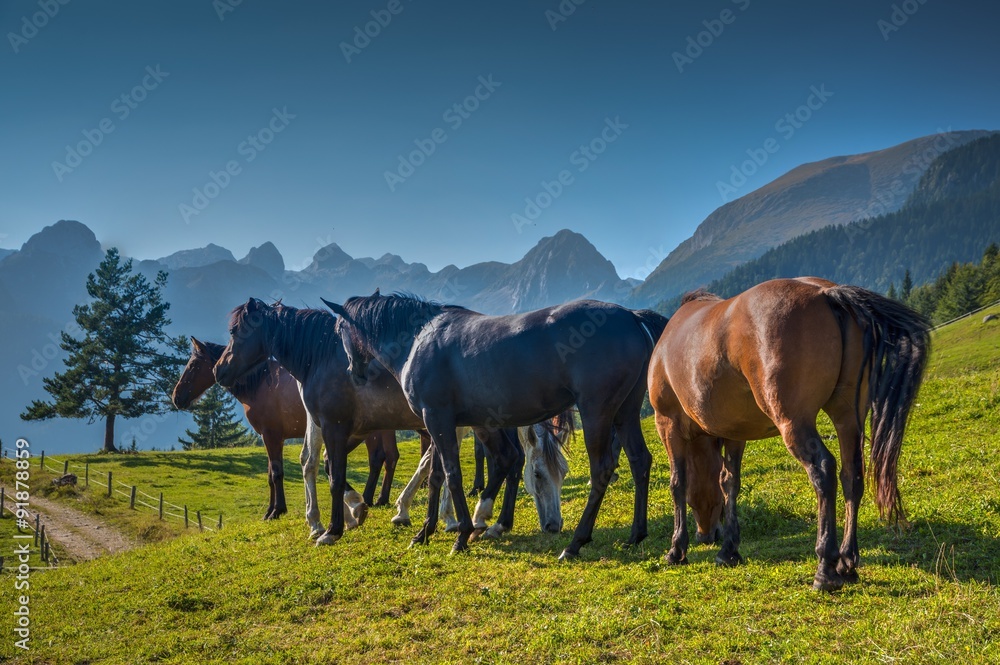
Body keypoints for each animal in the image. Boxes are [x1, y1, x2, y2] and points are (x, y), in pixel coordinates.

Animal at [173, 338, 402, 520]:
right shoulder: (271, 438)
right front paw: (269, 510)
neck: (260, 383)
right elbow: (270, 475)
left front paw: (277, 510)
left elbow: (276, 473)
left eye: (193, 365)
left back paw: (369, 498)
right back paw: (379, 498)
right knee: (389, 457)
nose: (177, 397)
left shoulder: (271, 436)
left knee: (378, 458)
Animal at [215, 300, 532, 544]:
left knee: (502, 459)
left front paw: (334, 526)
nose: (220, 370)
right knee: (510, 459)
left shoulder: (335, 425)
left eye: (234, 331)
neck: (321, 357)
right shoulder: (349, 428)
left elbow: (333, 472)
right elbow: (325, 465)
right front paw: (355, 511)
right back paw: (490, 521)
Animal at [324, 290, 668, 556]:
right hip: (625, 413)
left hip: (598, 411)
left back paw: (574, 543)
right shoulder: (438, 423)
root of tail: (632, 316)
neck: (418, 340)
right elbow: (435, 475)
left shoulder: (438, 419)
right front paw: (425, 532)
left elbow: (452, 475)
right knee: (639, 460)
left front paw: (462, 534)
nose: (354, 372)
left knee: (602, 470)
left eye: (339, 330)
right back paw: (635, 535)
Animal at [648, 278, 928, 588]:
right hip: (847, 418)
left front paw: (676, 549)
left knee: (824, 470)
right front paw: (729, 550)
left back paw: (826, 566)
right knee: (851, 475)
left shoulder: (668, 425)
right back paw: (847, 561)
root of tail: (826, 293)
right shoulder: (735, 432)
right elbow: (729, 482)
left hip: (794, 424)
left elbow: (678, 483)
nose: (706, 535)